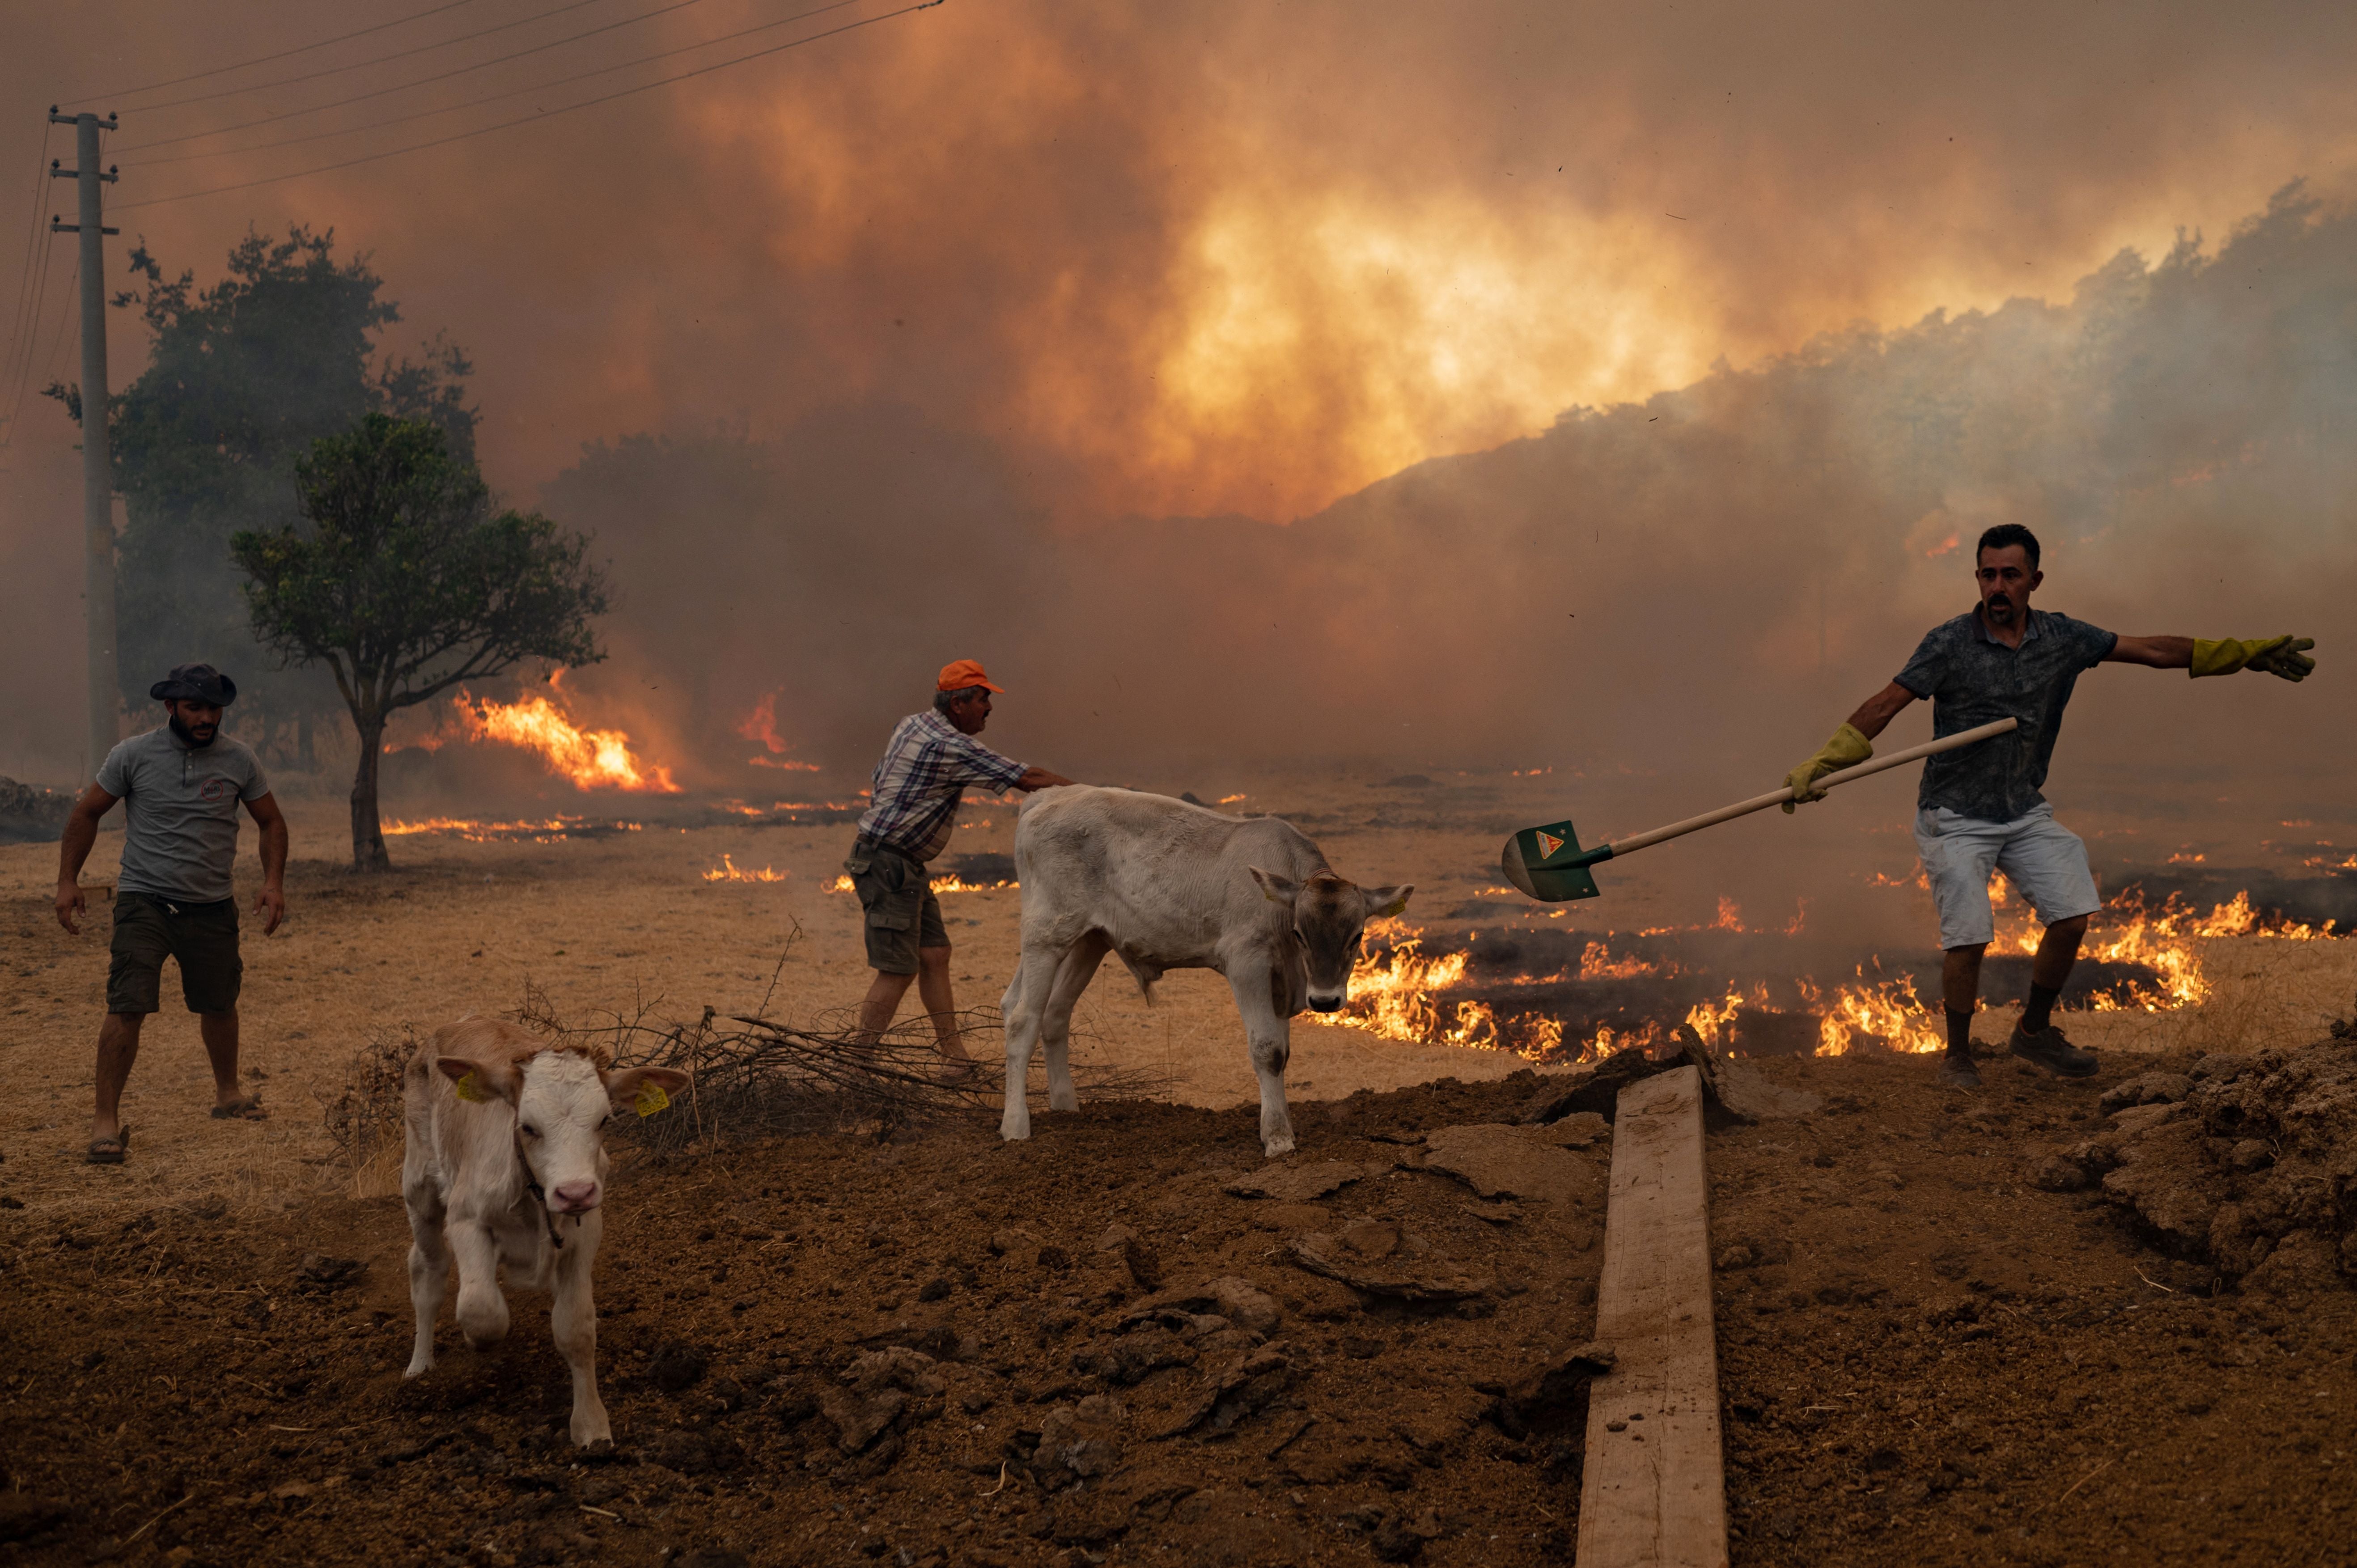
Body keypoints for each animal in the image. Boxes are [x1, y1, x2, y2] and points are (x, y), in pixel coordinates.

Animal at [398, 1014, 688, 1443]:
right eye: (528, 1127)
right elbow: (482, 1312)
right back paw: (420, 1366)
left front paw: (591, 1427)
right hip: (420, 1186)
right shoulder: (466, 1219)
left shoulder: (584, 1235)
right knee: (427, 1270)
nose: (575, 1192)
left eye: (604, 1119)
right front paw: (473, 1338)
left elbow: (576, 1330)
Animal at [999, 787, 1404, 1155]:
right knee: (1023, 1019)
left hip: (1088, 941)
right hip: (1047, 935)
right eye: (1299, 933)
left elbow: (1283, 1053)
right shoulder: (1246, 963)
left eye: (1358, 935)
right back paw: (1015, 1125)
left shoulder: (1280, 984)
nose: (1325, 1000)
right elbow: (1268, 1050)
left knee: (1049, 1012)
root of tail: (1050, 796)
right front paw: (1277, 1138)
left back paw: (1066, 1107)